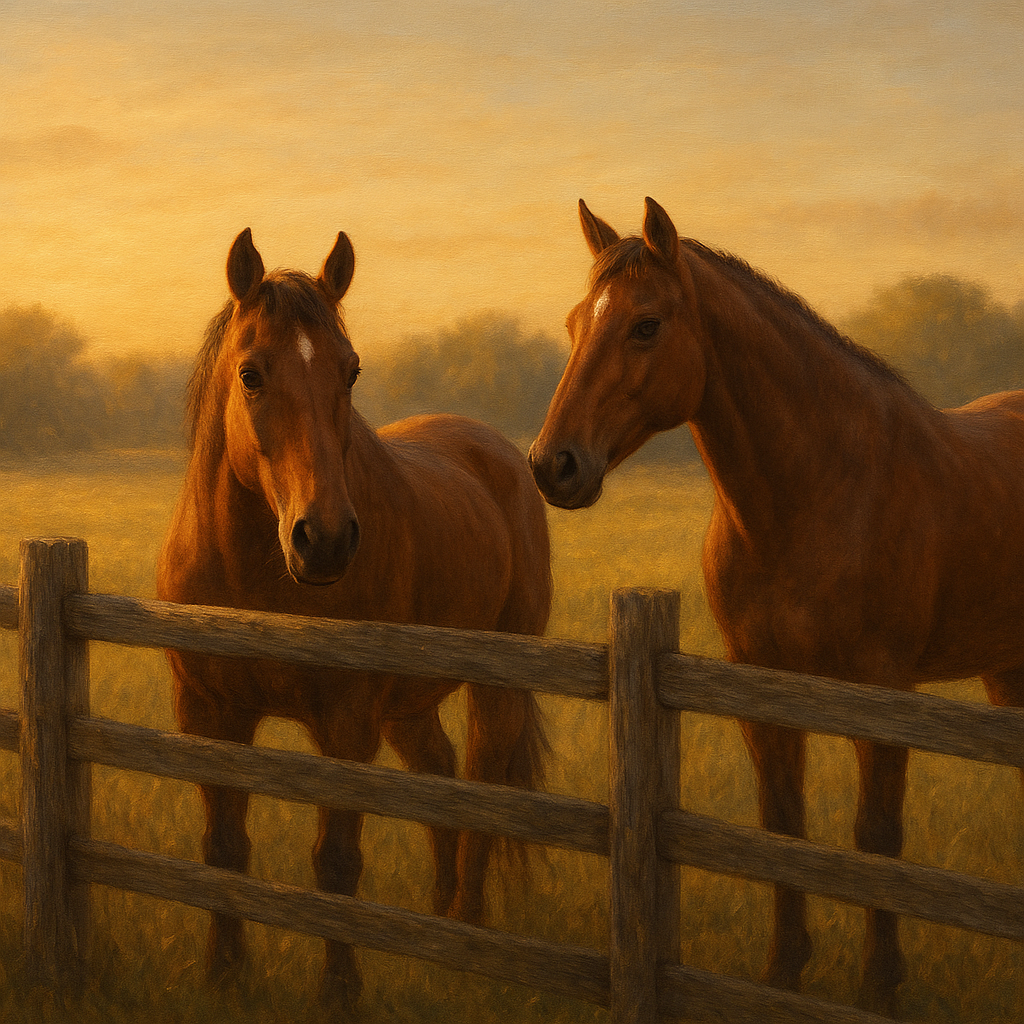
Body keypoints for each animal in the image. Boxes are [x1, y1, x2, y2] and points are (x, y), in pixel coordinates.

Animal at [157, 228, 551, 1013]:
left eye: (352, 371)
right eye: (251, 373)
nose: (328, 538)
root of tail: (496, 450)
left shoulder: (346, 720)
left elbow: (336, 861)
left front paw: (339, 992)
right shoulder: (210, 713)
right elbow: (224, 848)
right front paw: (225, 975)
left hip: (494, 689)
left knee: (482, 789)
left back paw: (467, 938)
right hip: (408, 706)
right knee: (438, 774)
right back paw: (436, 922)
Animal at [528, 196, 1024, 1017]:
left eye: (646, 325)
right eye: (574, 323)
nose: (551, 465)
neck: (823, 489)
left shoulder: (881, 694)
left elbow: (876, 837)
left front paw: (878, 988)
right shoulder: (760, 688)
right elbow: (781, 829)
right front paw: (782, 974)